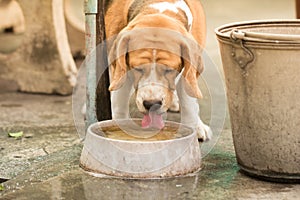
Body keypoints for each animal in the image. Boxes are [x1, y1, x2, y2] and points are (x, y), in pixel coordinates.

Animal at [105, 0, 211, 141]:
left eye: (169, 70)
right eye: (138, 68)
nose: (151, 104)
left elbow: (188, 100)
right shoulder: (121, 70)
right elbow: (119, 100)